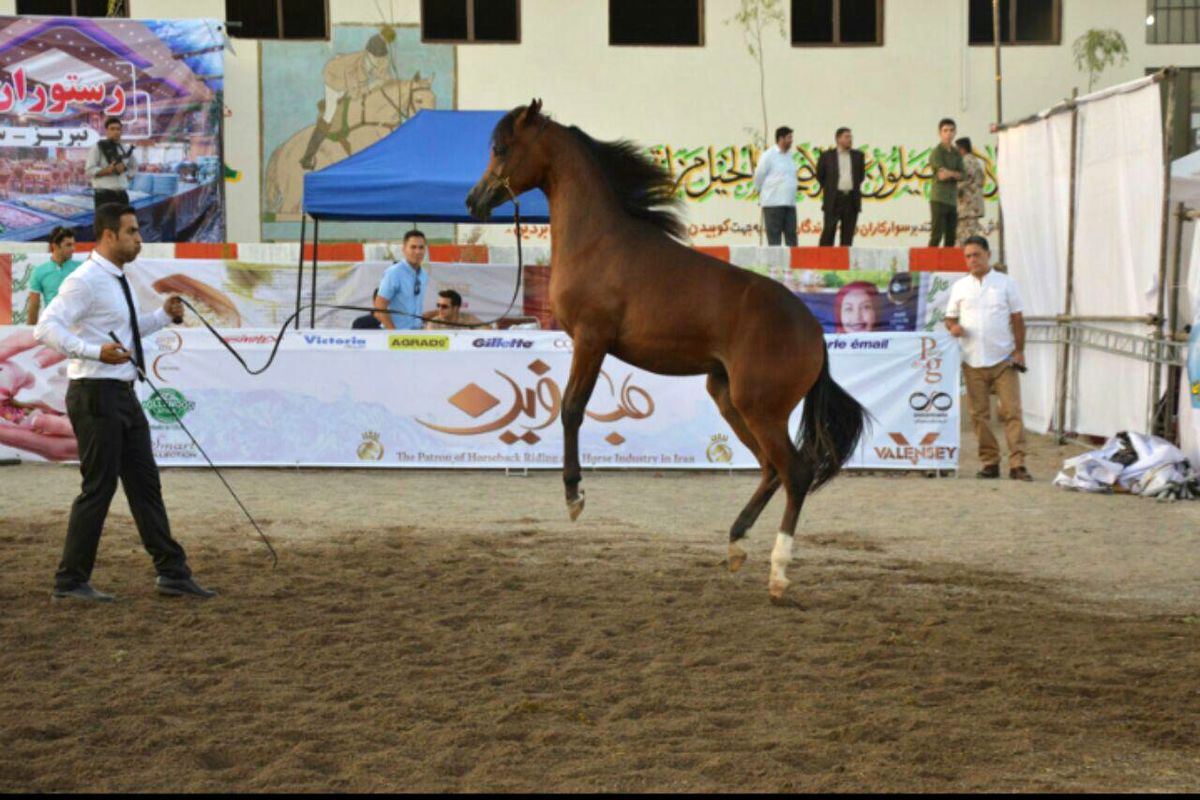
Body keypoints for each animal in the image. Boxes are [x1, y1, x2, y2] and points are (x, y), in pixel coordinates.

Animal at [463, 100, 868, 599]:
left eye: (501, 148)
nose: (474, 200)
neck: (598, 241)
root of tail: (812, 330)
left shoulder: (592, 340)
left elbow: (571, 409)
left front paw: (574, 495)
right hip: (729, 399)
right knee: (771, 470)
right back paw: (736, 544)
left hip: (761, 409)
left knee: (796, 472)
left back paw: (778, 571)